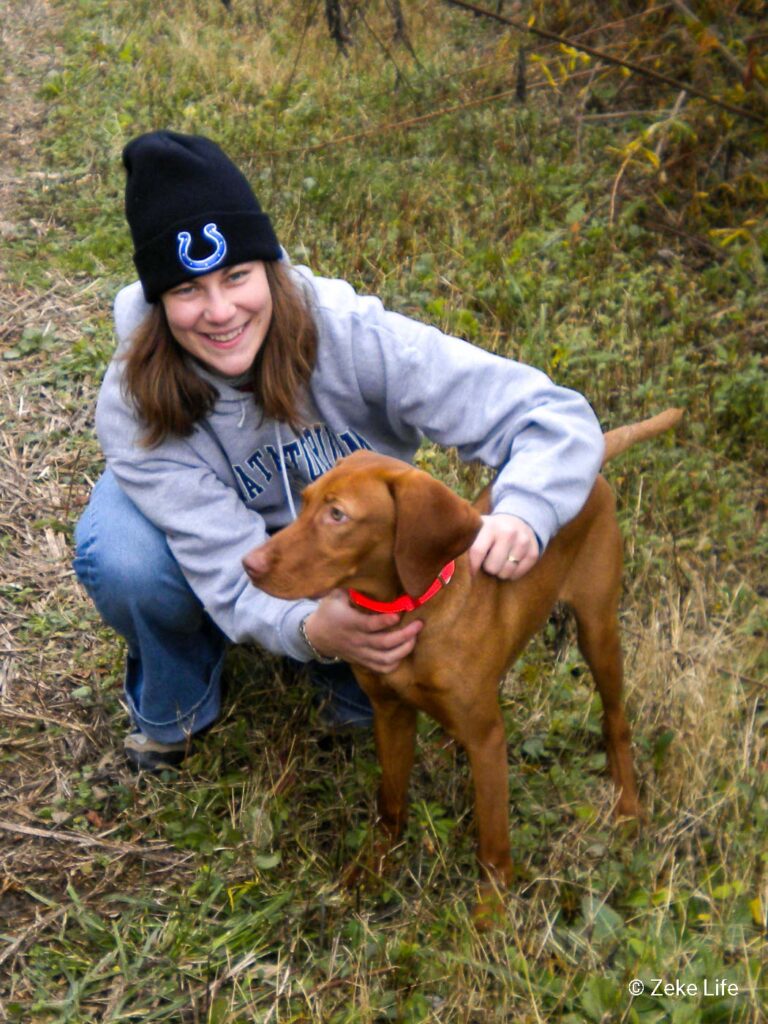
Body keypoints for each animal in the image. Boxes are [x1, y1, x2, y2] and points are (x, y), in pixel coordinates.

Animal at [243, 405, 684, 913]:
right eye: (305, 499)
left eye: (338, 515)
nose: (249, 565)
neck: (411, 608)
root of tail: (594, 460)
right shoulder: (390, 713)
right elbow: (389, 803)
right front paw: (372, 870)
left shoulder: (487, 739)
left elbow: (493, 839)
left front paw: (490, 913)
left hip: (598, 628)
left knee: (616, 720)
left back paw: (628, 806)